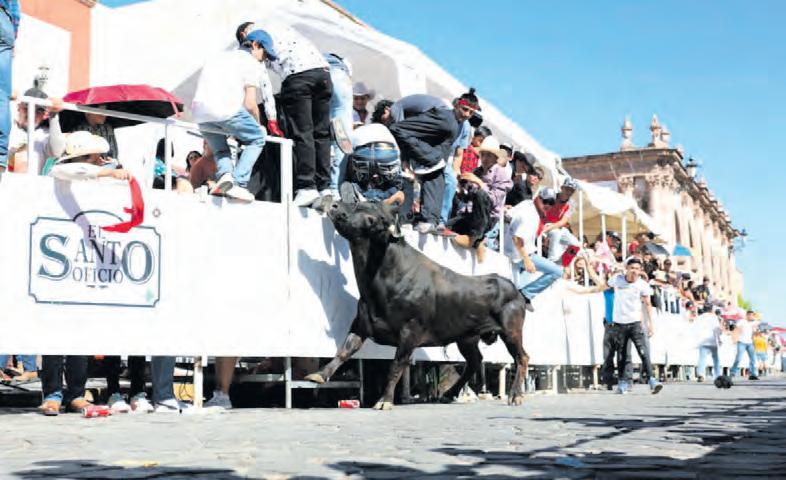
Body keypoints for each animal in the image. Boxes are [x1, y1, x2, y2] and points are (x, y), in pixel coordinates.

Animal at [304, 201, 529, 409]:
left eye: (371, 217)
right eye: (358, 203)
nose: (334, 206)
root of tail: (514, 288)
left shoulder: (410, 332)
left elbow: (396, 365)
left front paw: (384, 401)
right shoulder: (361, 324)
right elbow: (344, 350)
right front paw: (319, 375)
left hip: (511, 330)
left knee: (521, 357)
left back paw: (515, 396)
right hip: (467, 337)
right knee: (475, 361)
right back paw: (449, 394)